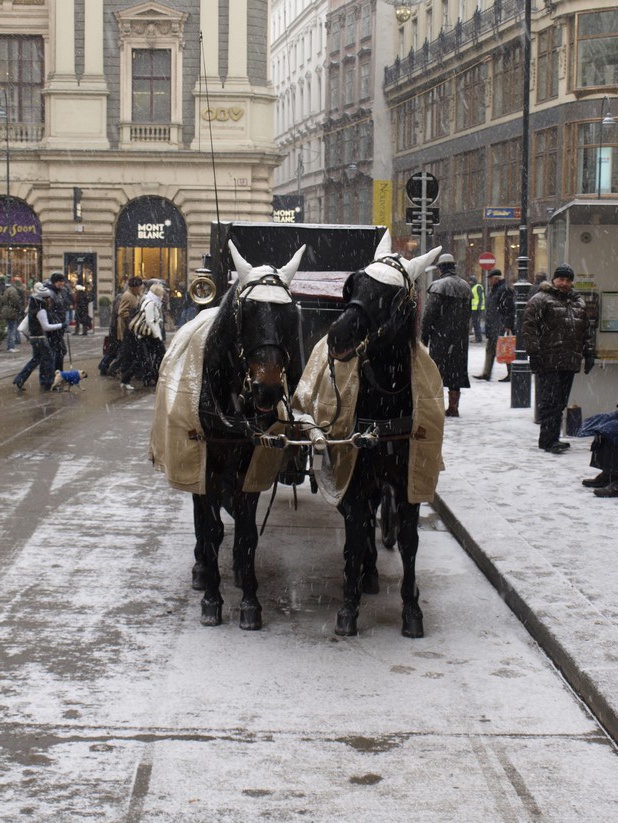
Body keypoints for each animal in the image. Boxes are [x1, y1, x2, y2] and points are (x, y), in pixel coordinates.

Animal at [149, 238, 304, 632]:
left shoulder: (250, 464)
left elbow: (247, 533)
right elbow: (213, 528)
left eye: (288, 315)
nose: (267, 388)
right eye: (245, 312)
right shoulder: (204, 464)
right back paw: (202, 567)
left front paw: (249, 599)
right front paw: (212, 599)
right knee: (201, 515)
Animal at [292, 235, 442, 640]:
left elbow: (409, 542)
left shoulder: (407, 482)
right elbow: (356, 533)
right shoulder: (354, 477)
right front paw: (349, 605)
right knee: (356, 523)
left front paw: (412, 610)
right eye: (353, 286)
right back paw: (366, 574)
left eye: (392, 297)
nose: (337, 335)